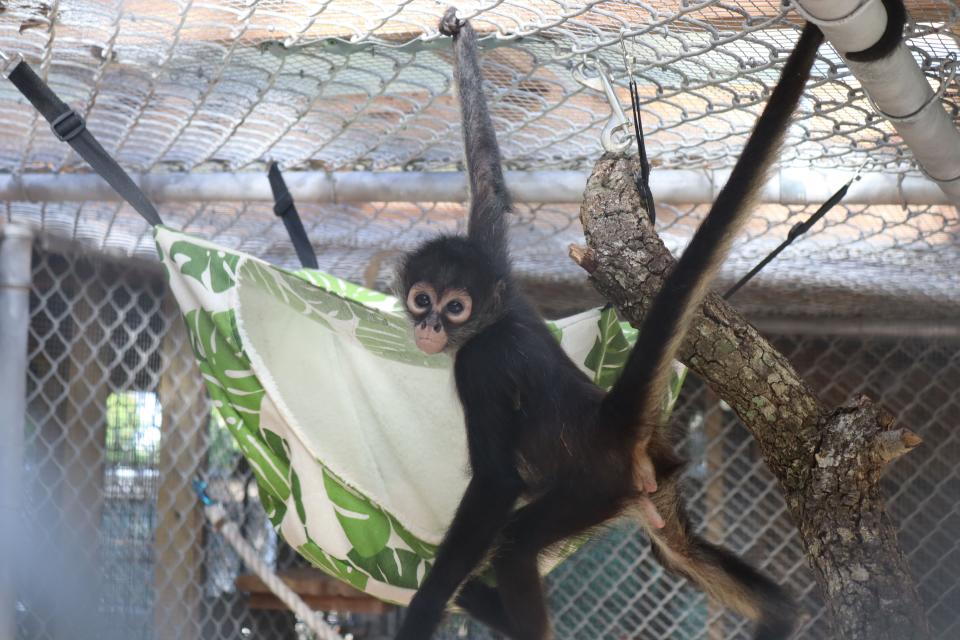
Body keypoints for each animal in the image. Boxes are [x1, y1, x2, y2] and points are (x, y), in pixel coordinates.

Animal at [396, 6, 824, 640]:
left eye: (455, 308)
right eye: (423, 298)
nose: (428, 327)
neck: (492, 321)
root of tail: (610, 422)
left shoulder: (480, 363)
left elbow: (497, 485)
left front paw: (422, 611)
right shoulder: (497, 270)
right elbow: (489, 180)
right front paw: (462, 38)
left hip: (594, 485)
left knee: (515, 545)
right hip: (650, 486)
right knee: (680, 552)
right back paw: (782, 615)